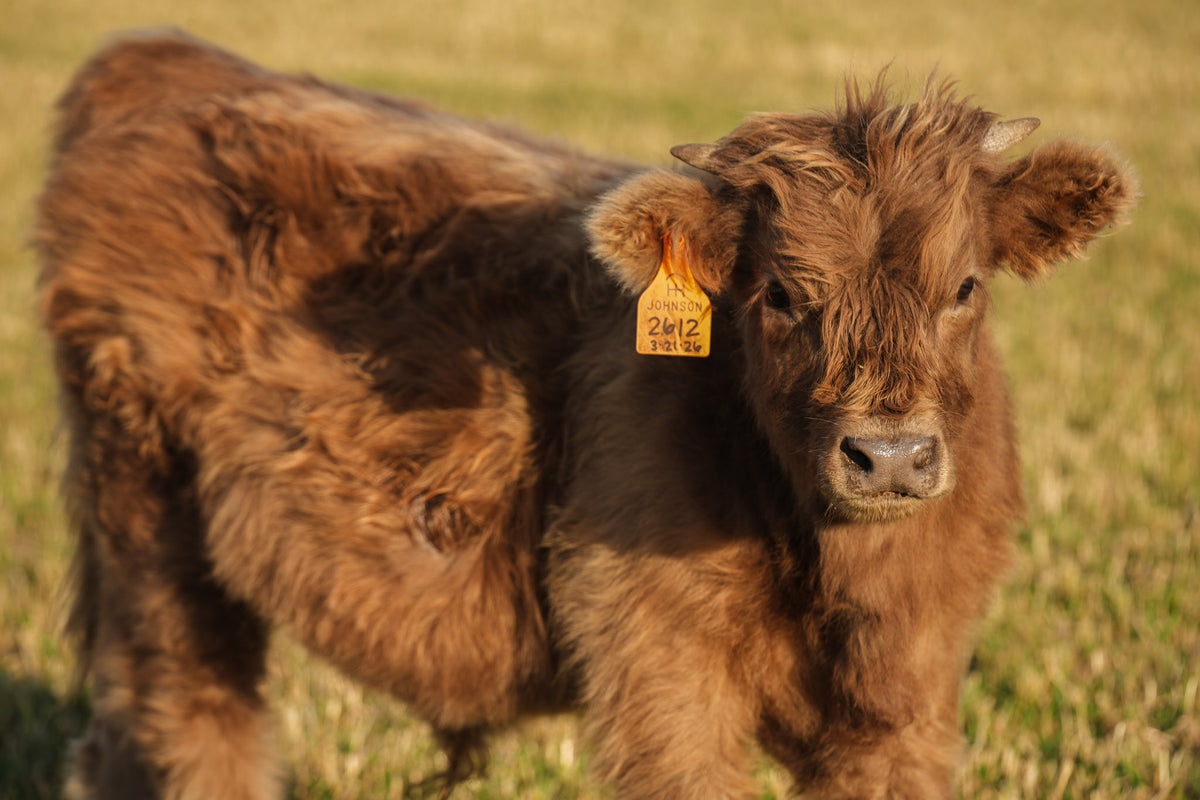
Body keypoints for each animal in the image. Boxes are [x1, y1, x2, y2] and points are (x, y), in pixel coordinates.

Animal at [36, 32, 1136, 800]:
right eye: (780, 293)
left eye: (965, 287)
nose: (891, 455)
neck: (840, 572)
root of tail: (163, 55)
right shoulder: (663, 676)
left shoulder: (904, 703)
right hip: (147, 512)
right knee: (189, 713)